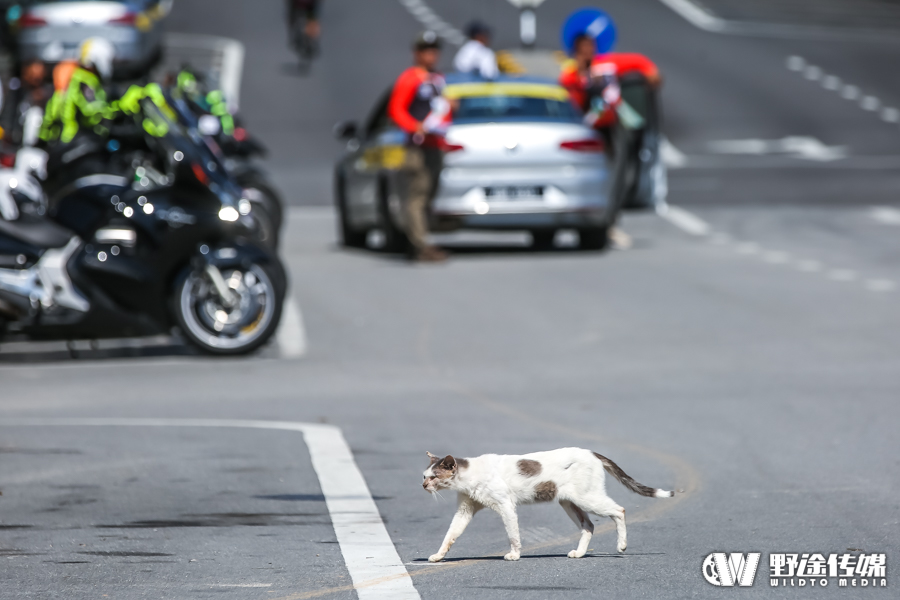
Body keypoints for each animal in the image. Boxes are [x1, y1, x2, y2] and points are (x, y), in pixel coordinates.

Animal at [424, 450, 676, 564]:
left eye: (434, 477)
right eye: (424, 476)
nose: (423, 485)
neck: (470, 477)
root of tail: (592, 453)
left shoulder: (505, 505)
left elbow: (513, 534)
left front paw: (515, 555)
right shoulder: (465, 510)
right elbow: (450, 535)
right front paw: (438, 556)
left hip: (588, 499)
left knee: (619, 510)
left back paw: (622, 545)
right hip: (570, 502)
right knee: (589, 526)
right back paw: (579, 553)